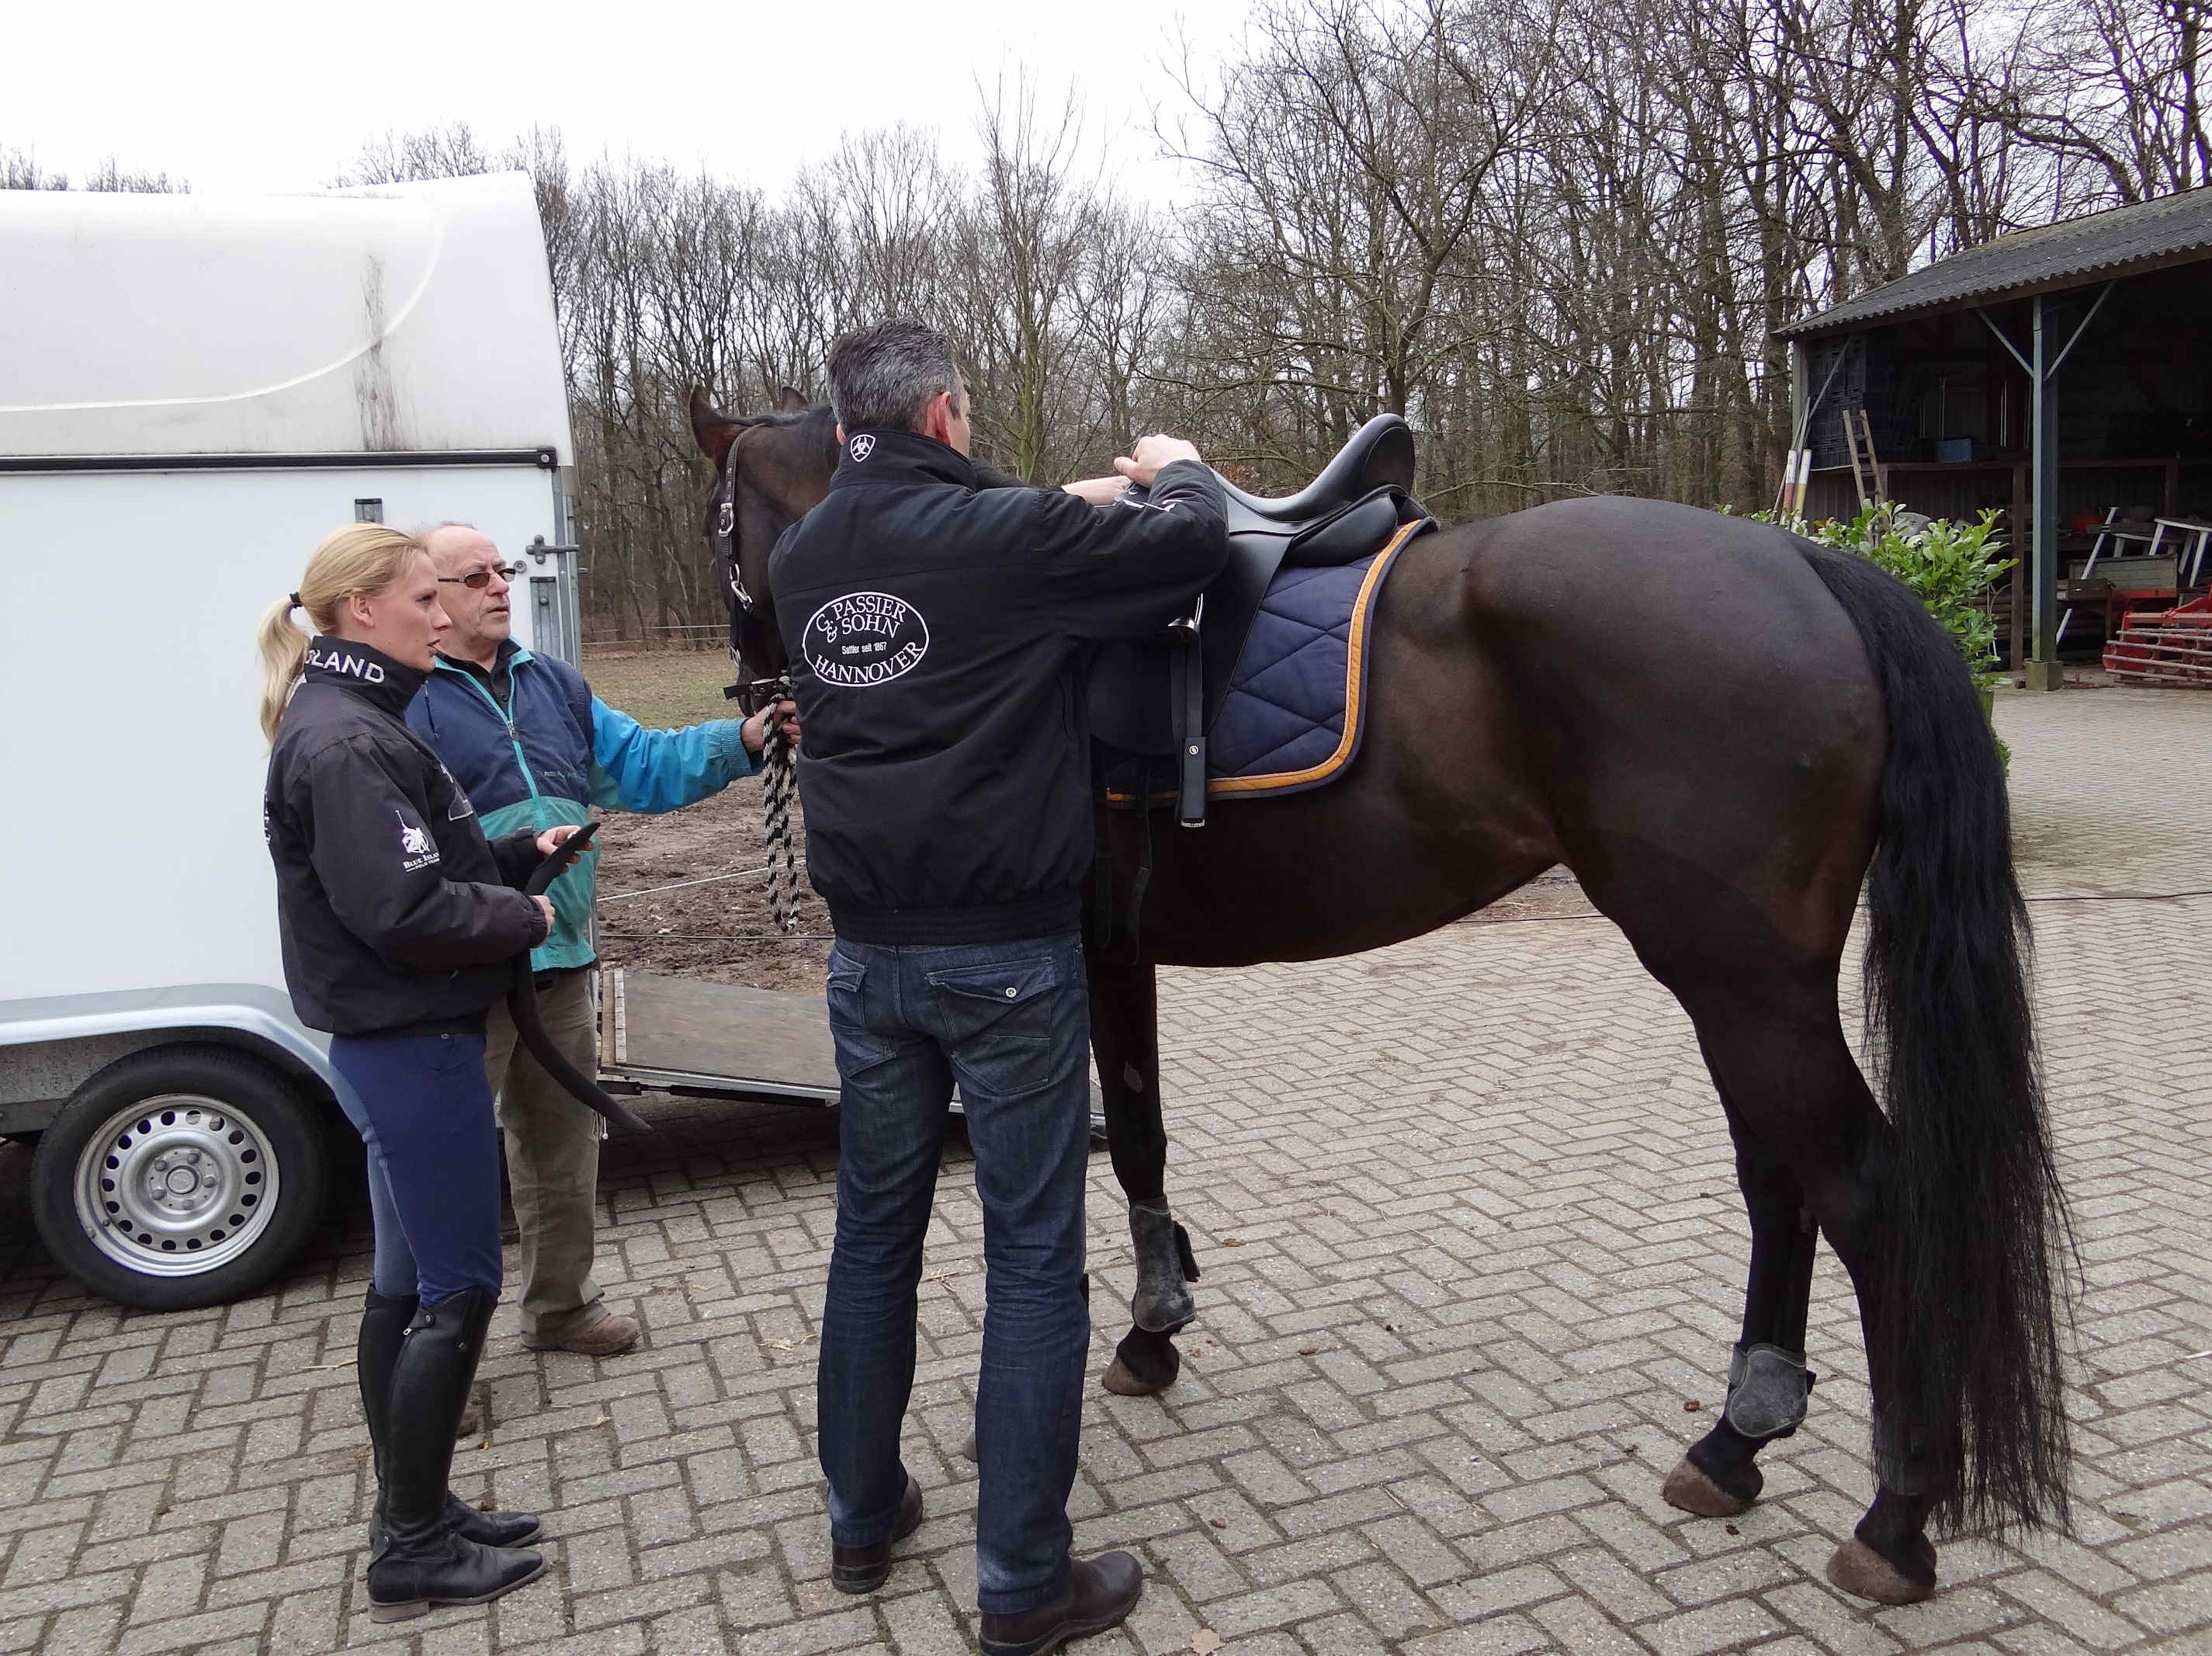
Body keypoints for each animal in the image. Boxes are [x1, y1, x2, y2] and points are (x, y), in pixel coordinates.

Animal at [690, 387, 2070, 1602]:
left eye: (718, 528)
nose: (755, 700)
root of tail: (1807, 561)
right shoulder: (1114, 952)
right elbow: (1139, 1133)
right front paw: (1160, 1316)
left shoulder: (1082, 949)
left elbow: (1124, 1135)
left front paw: (1145, 1329)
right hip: (1744, 986)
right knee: (1778, 1180)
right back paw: (1734, 1443)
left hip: (1743, 985)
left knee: (1862, 1195)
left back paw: (1894, 1520)